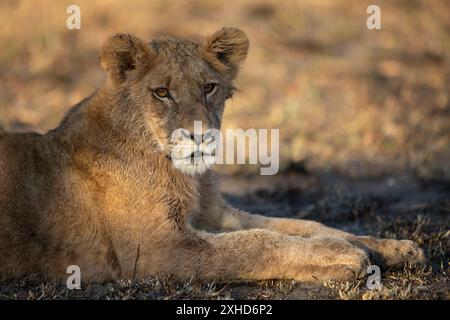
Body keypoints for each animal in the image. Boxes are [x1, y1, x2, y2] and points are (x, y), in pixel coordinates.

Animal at [0, 28, 424, 282]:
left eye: (209, 87)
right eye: (162, 92)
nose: (200, 136)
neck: (186, 176)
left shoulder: (214, 215)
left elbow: (303, 226)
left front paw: (388, 247)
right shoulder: (155, 249)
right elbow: (255, 244)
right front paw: (341, 257)